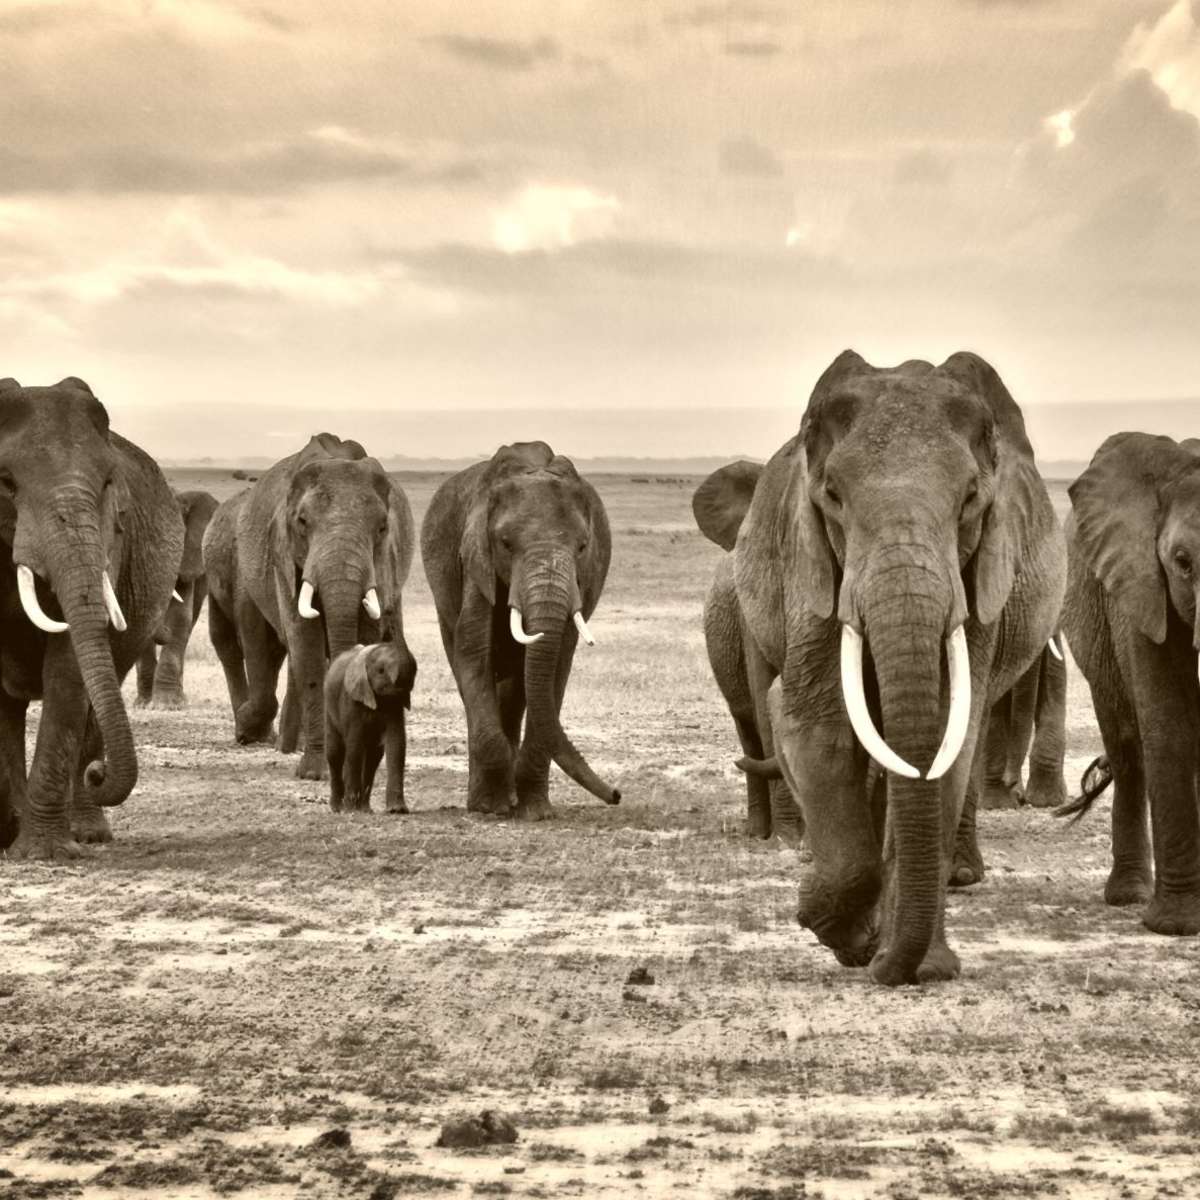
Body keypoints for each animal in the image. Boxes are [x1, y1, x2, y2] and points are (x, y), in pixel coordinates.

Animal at [0, 377, 183, 859]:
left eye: (107, 483)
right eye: (6, 483)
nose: (100, 772)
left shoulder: (110, 539)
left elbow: (67, 670)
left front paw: (43, 854)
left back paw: (85, 832)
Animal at [203, 433, 415, 779]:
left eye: (383, 528)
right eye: (302, 522)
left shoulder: (383, 566)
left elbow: (364, 639)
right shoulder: (284, 560)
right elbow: (306, 647)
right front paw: (316, 772)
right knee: (238, 644)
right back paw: (258, 730)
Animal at [324, 642, 417, 814]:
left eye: (414, 673)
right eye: (381, 671)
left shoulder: (395, 704)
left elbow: (397, 743)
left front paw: (397, 810)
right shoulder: (351, 699)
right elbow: (354, 746)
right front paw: (351, 811)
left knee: (373, 757)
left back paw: (366, 809)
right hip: (329, 706)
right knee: (335, 753)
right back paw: (338, 808)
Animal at [421, 441, 620, 819]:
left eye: (583, 547)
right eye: (506, 544)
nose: (616, 794)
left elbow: (556, 665)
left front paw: (535, 812)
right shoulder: (475, 560)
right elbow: (473, 650)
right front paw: (489, 808)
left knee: (516, 692)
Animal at [1060, 432, 1200, 935]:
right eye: (1182, 562)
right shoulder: (1141, 589)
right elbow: (1169, 730)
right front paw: (1176, 926)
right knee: (1127, 748)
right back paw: (1128, 895)